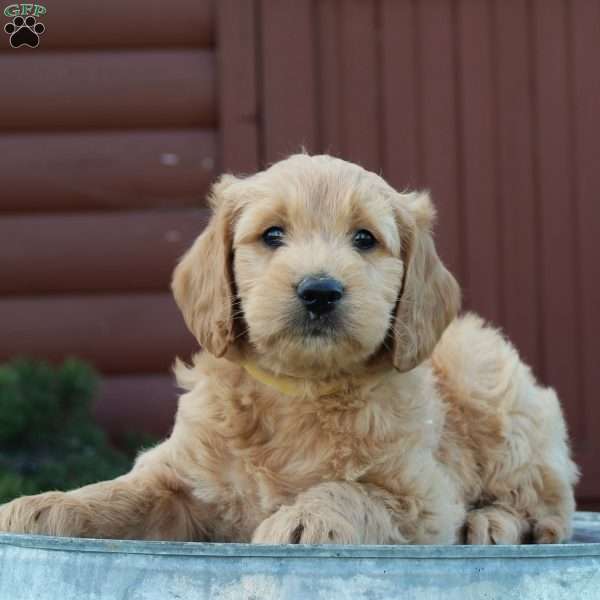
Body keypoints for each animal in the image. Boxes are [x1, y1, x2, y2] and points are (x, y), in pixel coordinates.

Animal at [1, 154, 580, 544]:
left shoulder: (421, 498)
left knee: (548, 502)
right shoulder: (181, 479)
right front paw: (45, 506)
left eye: (365, 239)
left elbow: (353, 490)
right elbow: (123, 492)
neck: (301, 389)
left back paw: (494, 523)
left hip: (491, 383)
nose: (319, 290)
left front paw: (305, 517)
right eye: (272, 234)